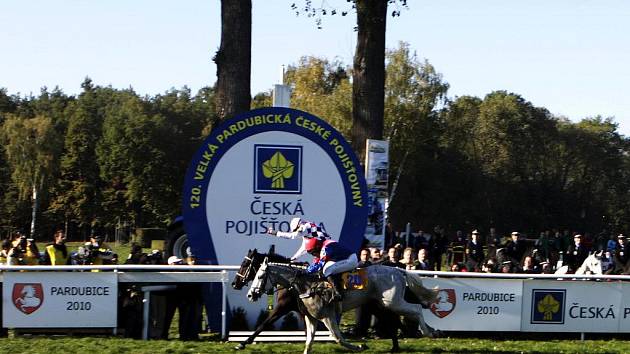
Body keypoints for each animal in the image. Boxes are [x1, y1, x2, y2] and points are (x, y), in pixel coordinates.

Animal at [248, 258, 440, 354]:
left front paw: (360, 346)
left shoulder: (327, 316)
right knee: (395, 319)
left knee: (416, 309)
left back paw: (428, 332)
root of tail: (398, 270)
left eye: (260, 276)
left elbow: (337, 337)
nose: (250, 295)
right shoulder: (311, 318)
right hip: (383, 304)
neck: (306, 285)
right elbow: (309, 342)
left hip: (393, 302)